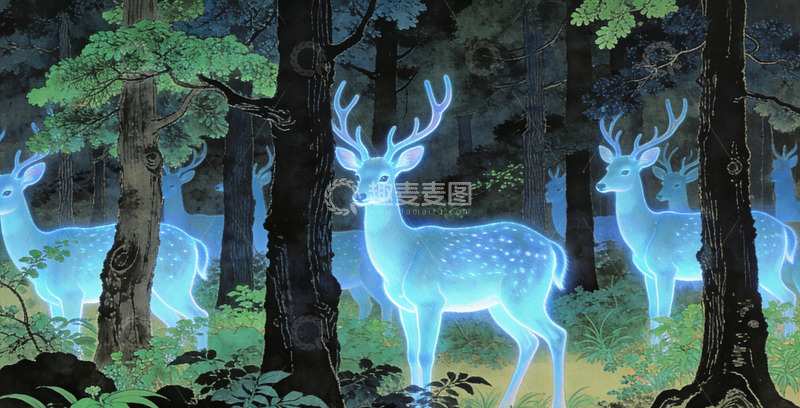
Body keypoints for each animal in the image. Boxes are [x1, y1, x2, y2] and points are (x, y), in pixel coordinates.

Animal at [0, 127, 209, 348]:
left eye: (8, 192)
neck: (42, 248)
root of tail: (195, 243)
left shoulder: (71, 291)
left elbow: (74, 337)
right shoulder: (51, 299)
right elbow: (60, 336)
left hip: (175, 282)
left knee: (199, 315)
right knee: (174, 321)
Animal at [333, 75, 568, 408]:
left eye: (385, 176)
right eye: (357, 174)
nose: (360, 195)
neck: (402, 258)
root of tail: (552, 248)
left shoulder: (431, 300)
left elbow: (426, 354)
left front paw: (426, 401)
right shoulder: (405, 306)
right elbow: (410, 354)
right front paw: (413, 400)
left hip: (526, 293)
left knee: (556, 335)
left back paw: (558, 401)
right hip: (500, 303)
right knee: (528, 341)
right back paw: (505, 401)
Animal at [596, 99, 798, 338]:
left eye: (625, 171)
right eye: (608, 167)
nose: (600, 185)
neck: (646, 233)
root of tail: (785, 230)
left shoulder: (666, 269)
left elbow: (665, 315)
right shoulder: (648, 274)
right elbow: (653, 316)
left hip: (769, 264)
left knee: (788, 296)